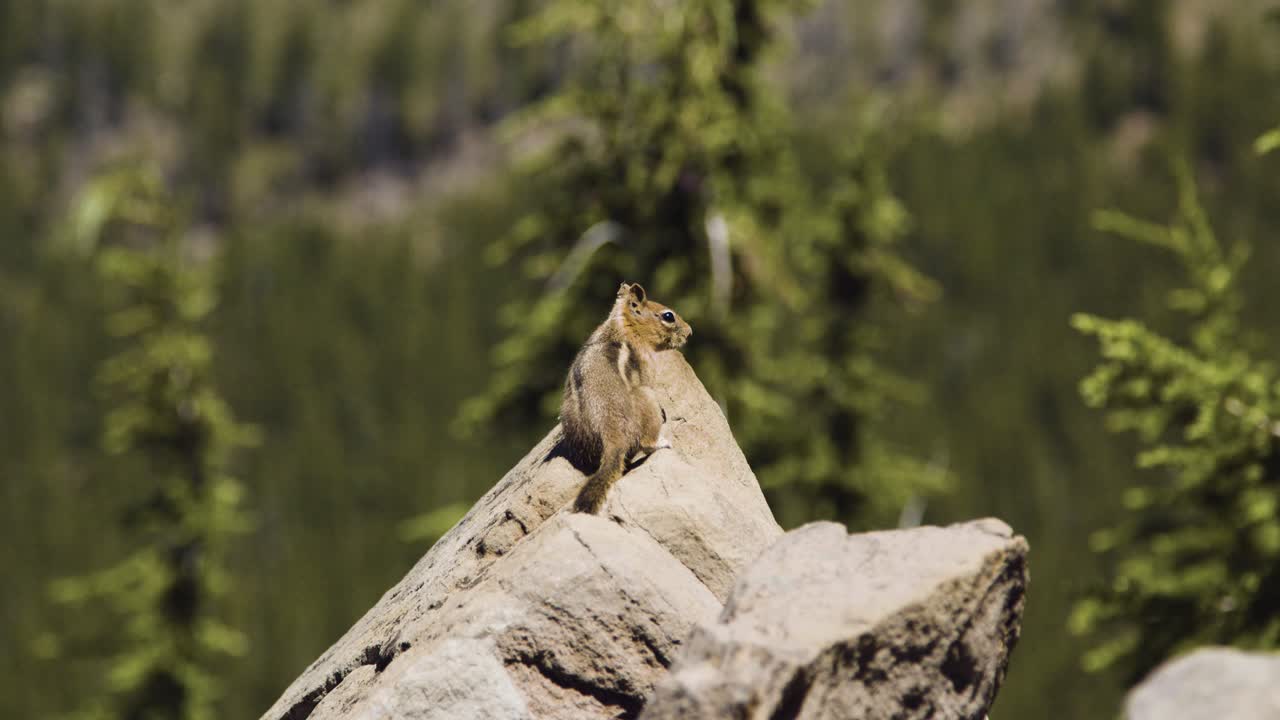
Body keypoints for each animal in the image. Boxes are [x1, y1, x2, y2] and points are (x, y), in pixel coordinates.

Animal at [561, 282, 693, 514]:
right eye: (668, 316)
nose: (690, 332)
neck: (622, 325)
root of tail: (612, 435)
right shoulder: (647, 368)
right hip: (646, 397)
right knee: (646, 443)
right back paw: (661, 442)